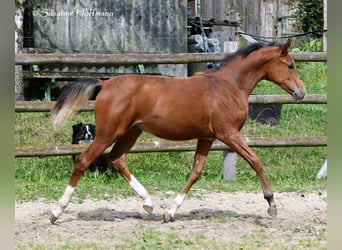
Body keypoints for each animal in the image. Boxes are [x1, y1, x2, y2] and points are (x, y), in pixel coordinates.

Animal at [48, 39, 304, 225]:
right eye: (290, 65)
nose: (301, 93)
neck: (227, 86)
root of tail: (105, 83)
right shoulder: (228, 134)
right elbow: (256, 161)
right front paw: (272, 205)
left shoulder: (207, 137)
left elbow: (196, 172)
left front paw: (169, 212)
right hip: (107, 133)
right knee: (83, 160)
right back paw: (56, 211)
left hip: (131, 132)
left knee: (116, 159)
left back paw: (149, 203)